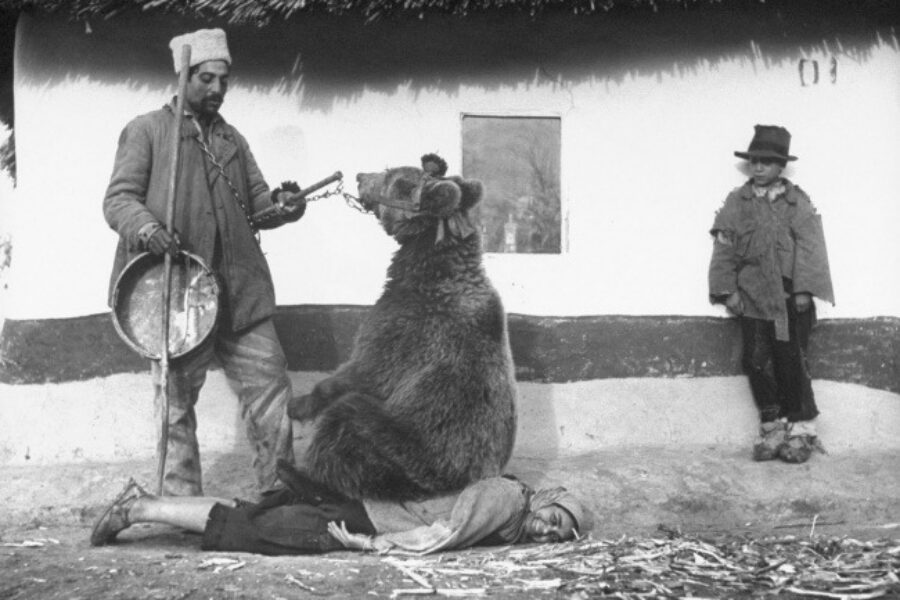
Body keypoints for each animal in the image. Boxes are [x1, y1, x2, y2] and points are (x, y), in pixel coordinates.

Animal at [286, 154, 517, 502]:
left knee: (345, 423)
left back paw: (302, 478)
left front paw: (298, 404)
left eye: (389, 176)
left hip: (405, 446)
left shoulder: (406, 330)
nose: (359, 176)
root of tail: (456, 485)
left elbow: (364, 369)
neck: (431, 269)